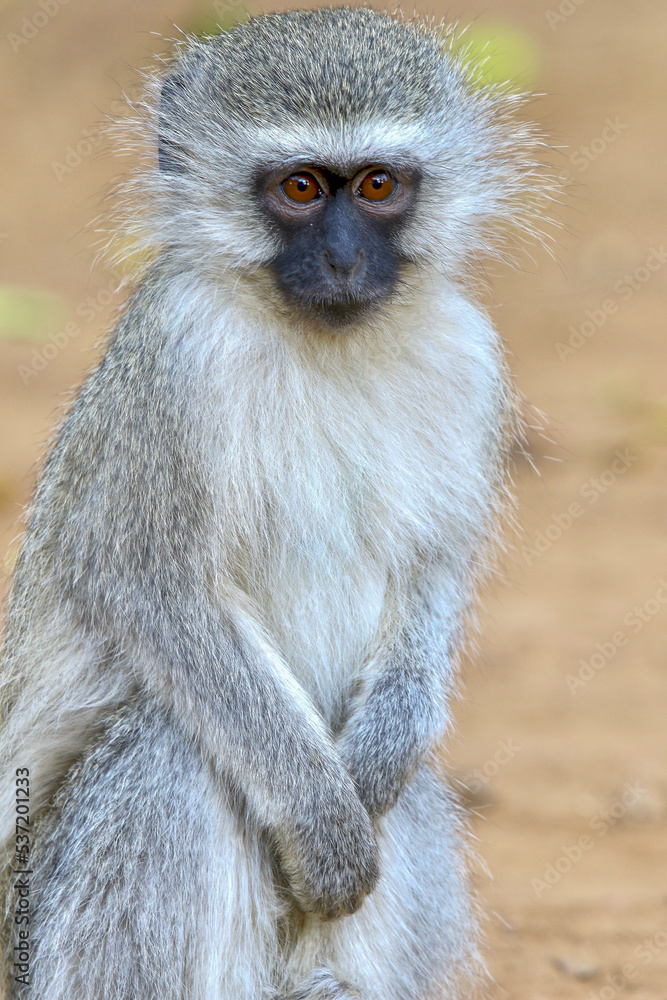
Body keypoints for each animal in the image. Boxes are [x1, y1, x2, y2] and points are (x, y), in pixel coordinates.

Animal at [0, 8, 552, 999]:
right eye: (298, 188)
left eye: (376, 185)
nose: (341, 258)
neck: (324, 340)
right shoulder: (178, 361)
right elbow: (154, 590)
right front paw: (325, 822)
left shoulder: (472, 358)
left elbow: (433, 573)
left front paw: (378, 757)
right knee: (172, 756)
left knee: (406, 792)